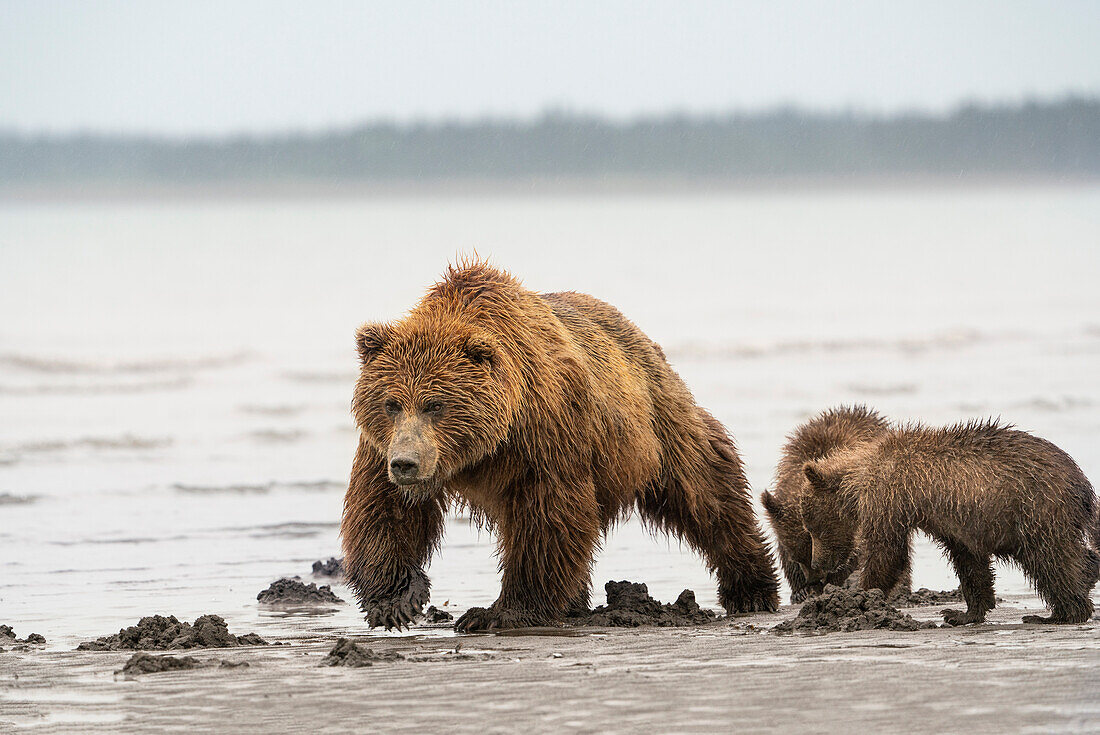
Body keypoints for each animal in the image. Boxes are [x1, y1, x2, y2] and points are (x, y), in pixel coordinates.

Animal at [338, 260, 778, 629]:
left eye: (436, 404)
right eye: (391, 403)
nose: (406, 463)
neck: (485, 447)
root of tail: (636, 332)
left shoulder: (545, 430)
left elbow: (548, 511)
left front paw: (499, 612)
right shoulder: (382, 446)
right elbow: (381, 508)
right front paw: (396, 601)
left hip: (656, 418)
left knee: (704, 483)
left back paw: (752, 589)